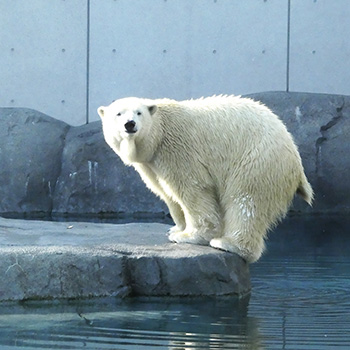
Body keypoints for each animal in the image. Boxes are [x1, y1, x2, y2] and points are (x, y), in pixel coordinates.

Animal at [97, 95, 314, 262]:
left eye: (138, 112)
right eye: (118, 114)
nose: (129, 124)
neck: (159, 132)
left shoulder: (178, 149)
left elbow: (192, 189)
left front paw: (189, 235)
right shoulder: (150, 163)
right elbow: (167, 193)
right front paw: (176, 229)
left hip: (258, 161)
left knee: (246, 200)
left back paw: (228, 243)